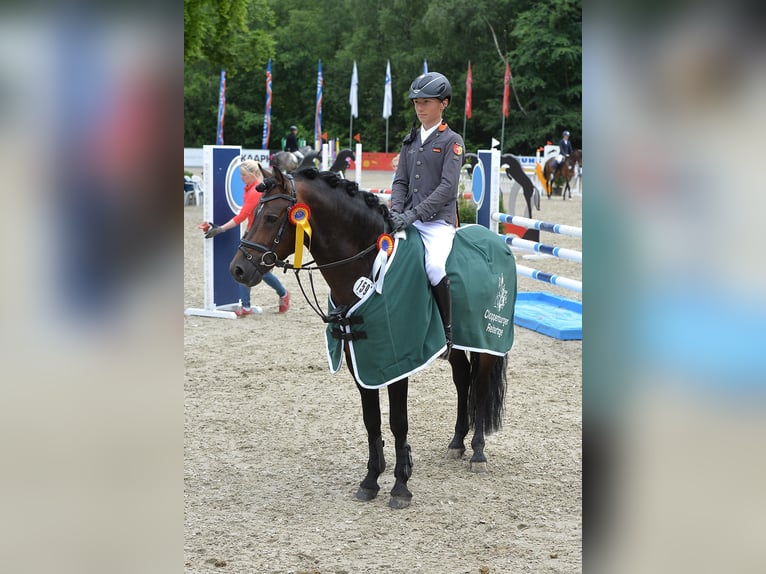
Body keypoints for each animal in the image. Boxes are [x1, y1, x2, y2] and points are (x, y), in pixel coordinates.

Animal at [230, 169, 516, 510]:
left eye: (272, 217)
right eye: (255, 212)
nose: (238, 269)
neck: (367, 267)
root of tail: (495, 241)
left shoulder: (398, 362)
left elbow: (398, 422)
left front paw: (401, 485)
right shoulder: (361, 362)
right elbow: (372, 421)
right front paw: (370, 480)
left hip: (487, 342)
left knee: (481, 387)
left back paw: (478, 452)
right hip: (458, 345)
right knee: (463, 380)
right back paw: (457, 442)